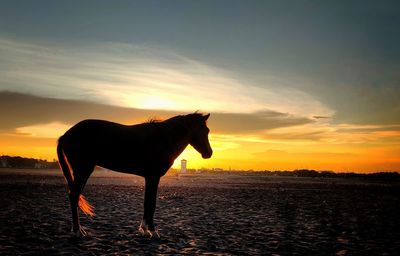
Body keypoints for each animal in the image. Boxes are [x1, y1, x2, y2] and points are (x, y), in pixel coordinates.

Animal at [57, 113, 212, 237]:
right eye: (204, 130)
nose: (209, 153)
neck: (163, 138)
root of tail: (66, 134)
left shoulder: (149, 178)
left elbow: (147, 203)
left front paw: (144, 229)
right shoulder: (153, 177)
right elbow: (152, 203)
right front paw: (153, 231)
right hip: (83, 171)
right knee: (74, 196)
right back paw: (78, 231)